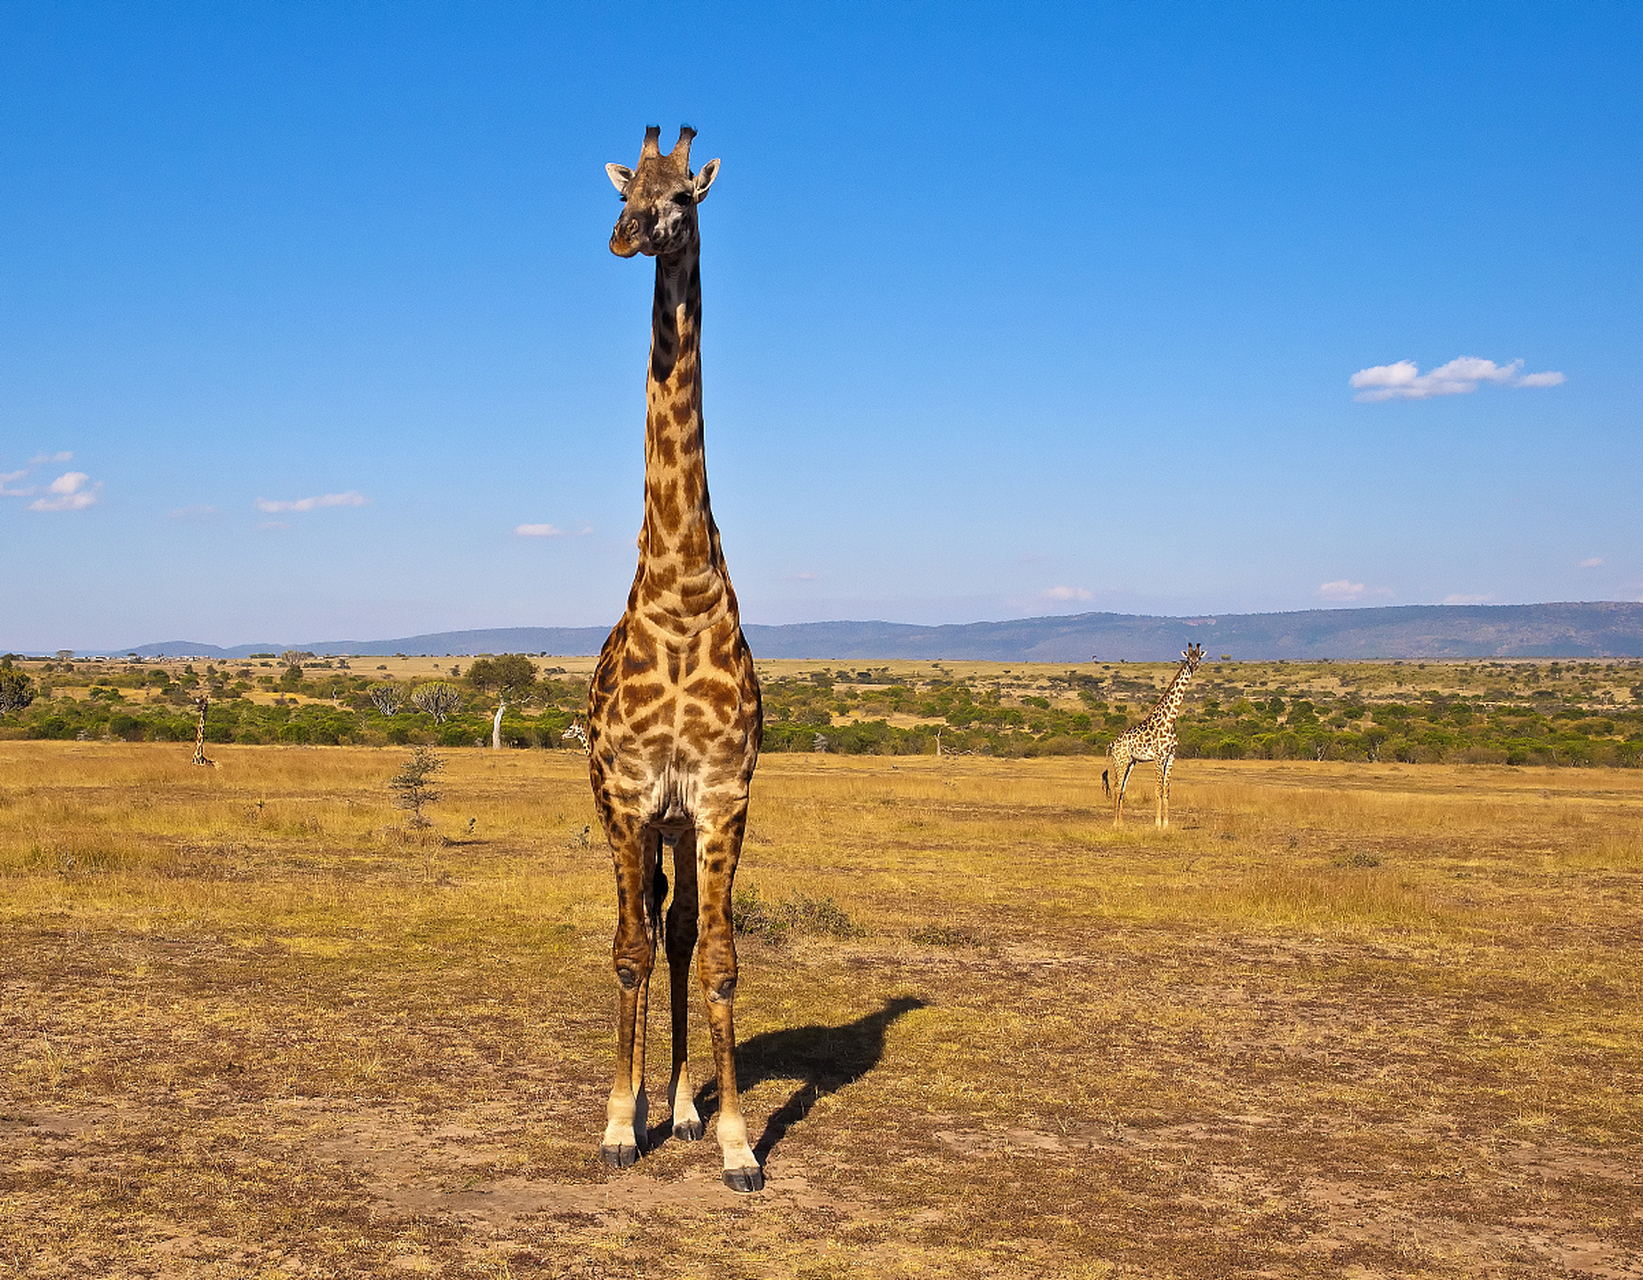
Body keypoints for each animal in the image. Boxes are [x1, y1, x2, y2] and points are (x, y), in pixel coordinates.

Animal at [1104, 640, 1209, 831]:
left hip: (1131, 762)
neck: (1170, 720)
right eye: (1188, 658)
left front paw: (1166, 823)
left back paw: (1122, 821)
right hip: (1120, 760)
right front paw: (1157, 823)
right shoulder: (1159, 756)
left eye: (1199, 658)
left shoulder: (1171, 756)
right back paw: (1115, 823)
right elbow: (1158, 789)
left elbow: (1167, 790)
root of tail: (1112, 744)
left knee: (1122, 788)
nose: (1194, 666)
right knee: (1116, 787)